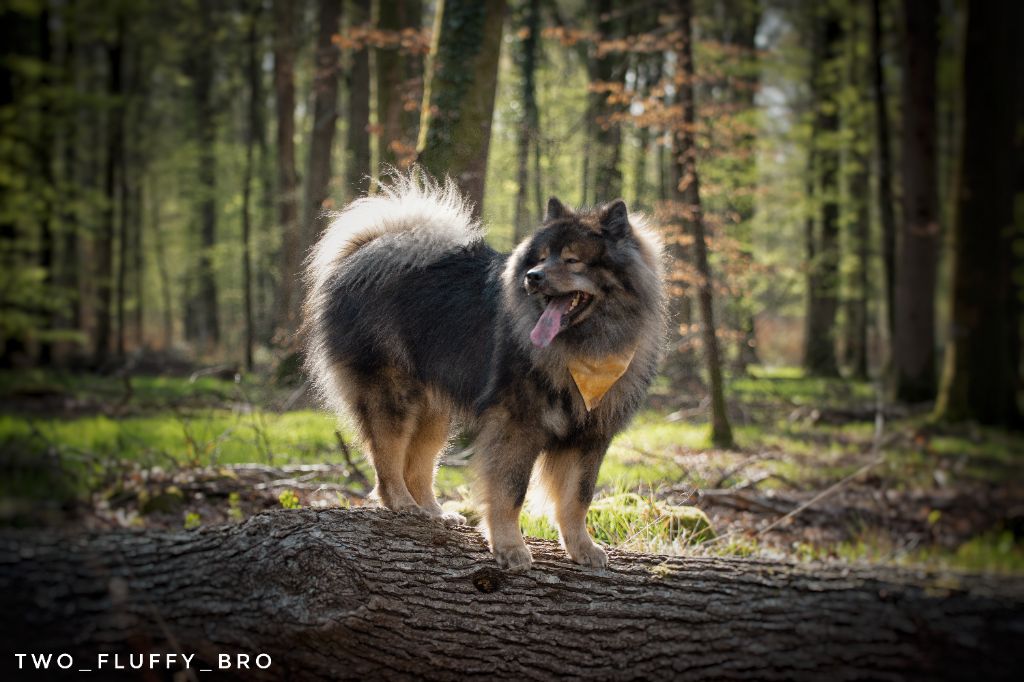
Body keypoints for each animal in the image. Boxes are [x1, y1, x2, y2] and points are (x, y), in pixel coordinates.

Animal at [301, 173, 663, 565]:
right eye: (541, 258)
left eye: (572, 260)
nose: (533, 276)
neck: (585, 347)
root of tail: (363, 253)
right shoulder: (516, 426)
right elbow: (510, 492)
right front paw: (509, 547)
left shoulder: (589, 437)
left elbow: (577, 499)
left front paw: (582, 548)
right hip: (392, 394)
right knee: (388, 457)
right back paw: (401, 503)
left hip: (435, 411)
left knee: (420, 464)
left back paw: (432, 511)